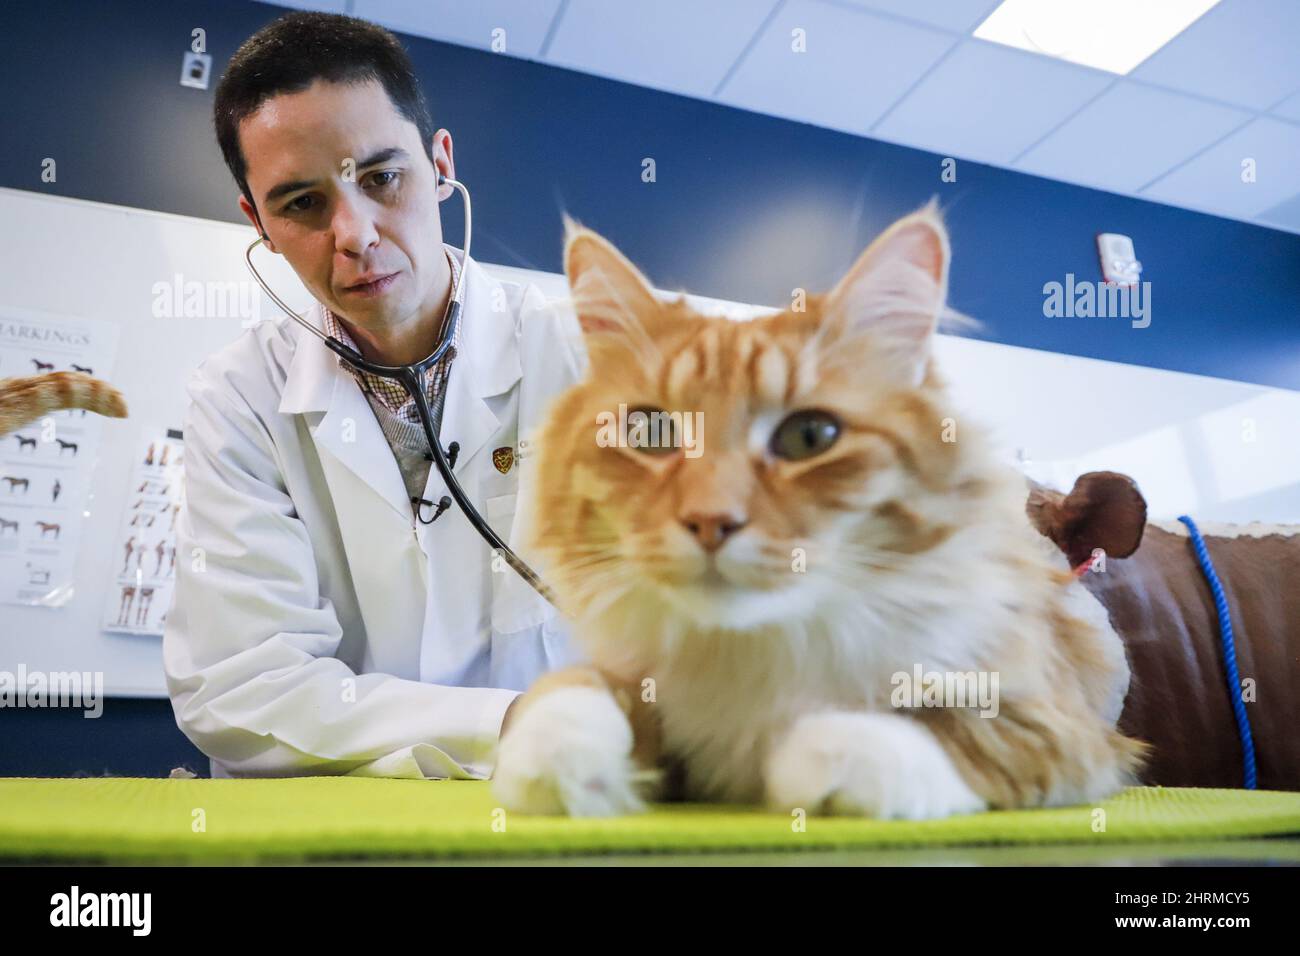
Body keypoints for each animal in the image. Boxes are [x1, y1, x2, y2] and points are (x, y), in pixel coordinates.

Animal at [488, 209, 1149, 822]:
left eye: (810, 436)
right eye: (650, 432)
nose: (710, 521)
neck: (746, 652)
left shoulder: (1057, 723)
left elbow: (943, 729)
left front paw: (821, 754)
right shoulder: (624, 673)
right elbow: (570, 693)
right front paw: (565, 761)